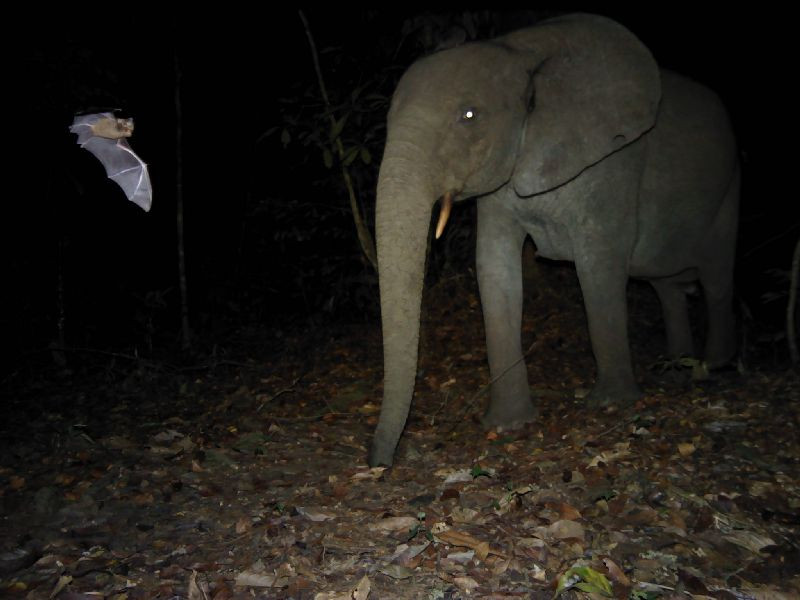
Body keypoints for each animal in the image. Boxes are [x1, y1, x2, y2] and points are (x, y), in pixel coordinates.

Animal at [368, 13, 739, 467]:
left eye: (469, 115)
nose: (380, 462)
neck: (519, 52)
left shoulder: (615, 162)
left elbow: (598, 266)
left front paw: (611, 404)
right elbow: (494, 269)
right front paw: (508, 423)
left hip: (729, 188)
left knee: (716, 277)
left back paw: (713, 367)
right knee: (667, 287)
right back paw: (676, 366)